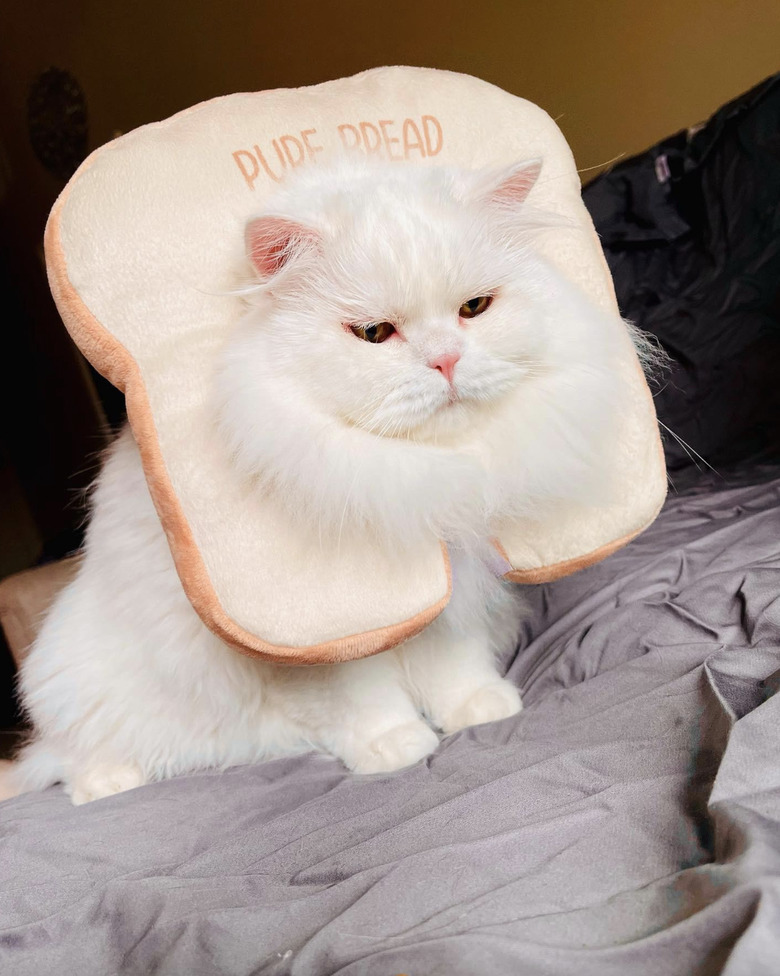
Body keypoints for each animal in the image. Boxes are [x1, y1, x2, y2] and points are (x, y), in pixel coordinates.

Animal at [9, 158, 632, 800]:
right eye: (374, 334)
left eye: (475, 308)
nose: (446, 361)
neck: (419, 479)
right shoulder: (325, 639)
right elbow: (362, 701)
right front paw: (396, 748)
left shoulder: (448, 589)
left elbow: (452, 667)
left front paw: (477, 710)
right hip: (72, 680)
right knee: (71, 763)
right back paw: (114, 784)